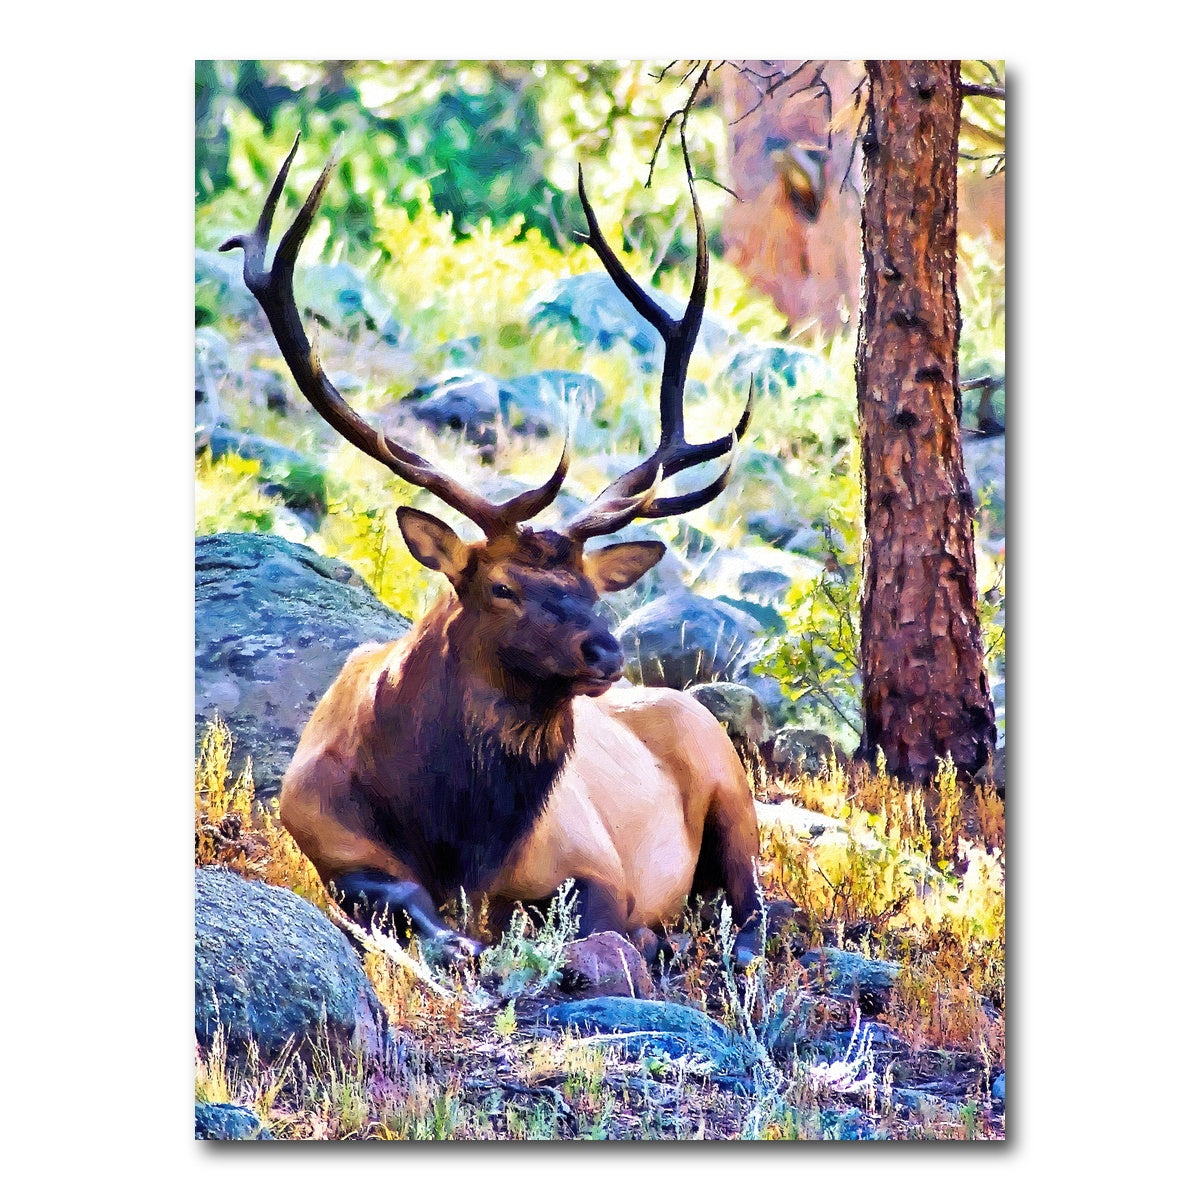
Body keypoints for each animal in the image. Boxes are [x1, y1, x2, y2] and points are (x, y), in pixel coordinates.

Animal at [220, 136, 763, 967]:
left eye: (594, 591)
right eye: (502, 588)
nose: (606, 651)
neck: (457, 836)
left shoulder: (594, 860)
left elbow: (598, 917)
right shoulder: (326, 841)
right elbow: (405, 901)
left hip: (730, 781)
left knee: (758, 903)